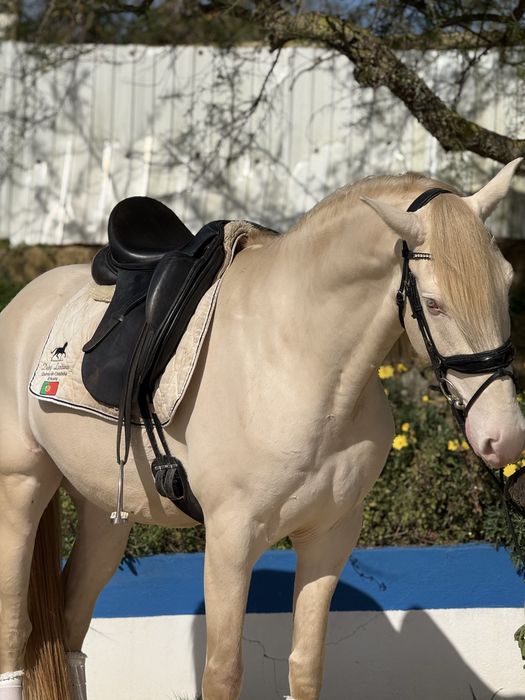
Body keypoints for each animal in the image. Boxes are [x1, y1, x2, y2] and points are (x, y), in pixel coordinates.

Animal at [0, 159, 524, 700]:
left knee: (71, 624)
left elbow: (306, 667)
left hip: (106, 512)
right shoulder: (231, 540)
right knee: (15, 629)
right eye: (435, 303)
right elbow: (224, 673)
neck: (296, 360)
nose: (503, 435)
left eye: (506, 282)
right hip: (21, 488)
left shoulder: (329, 536)